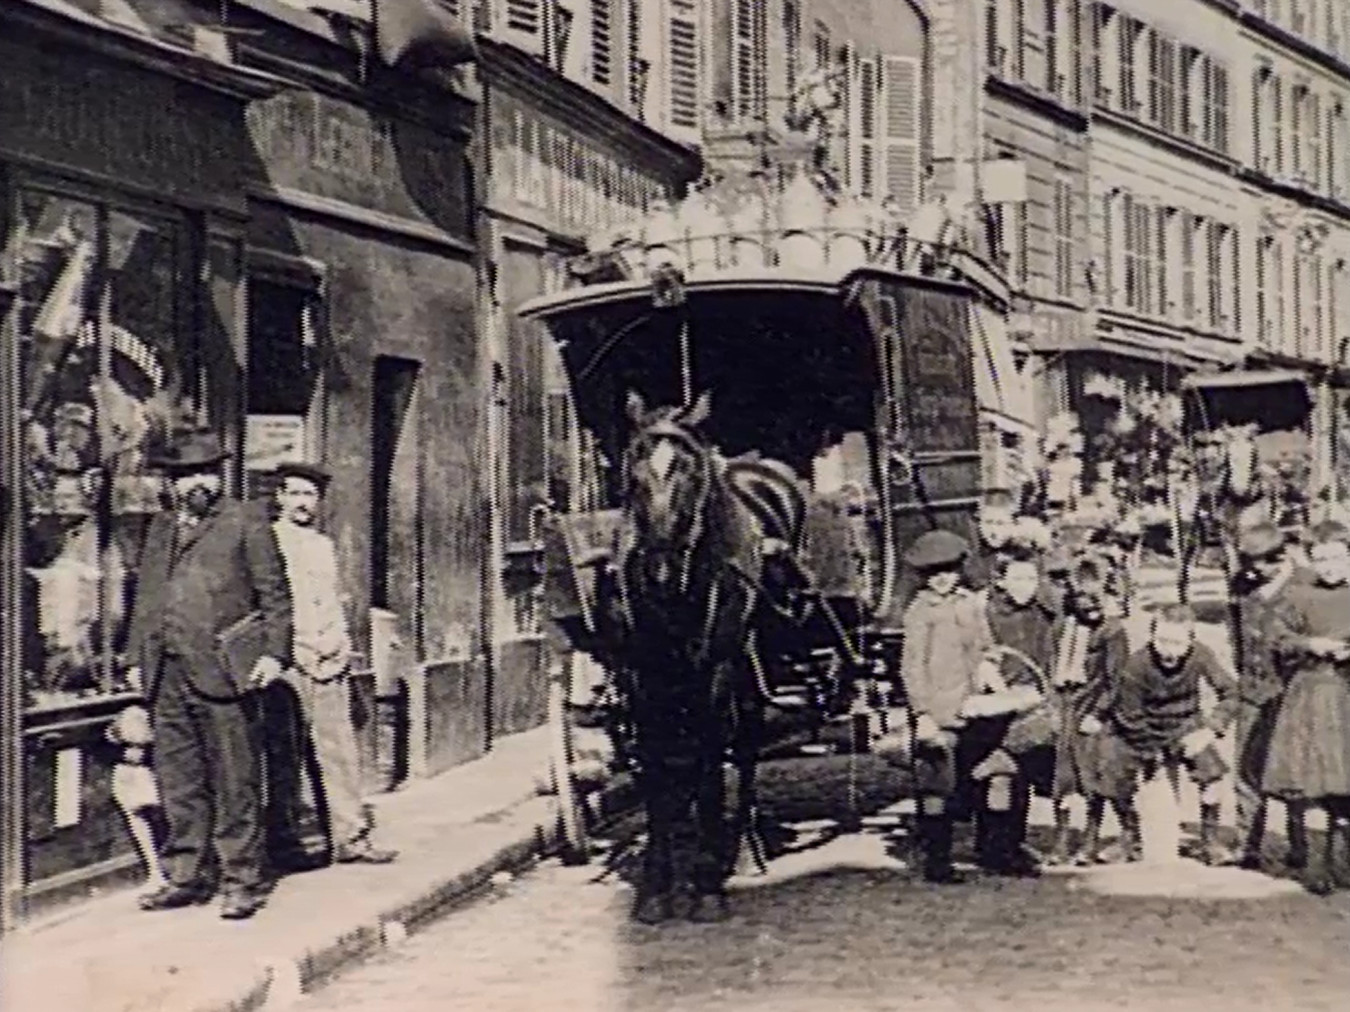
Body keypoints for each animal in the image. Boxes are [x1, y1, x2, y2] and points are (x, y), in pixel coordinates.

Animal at [610, 389, 807, 924]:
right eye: (631, 468)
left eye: (691, 471)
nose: (658, 570)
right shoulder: (641, 675)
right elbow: (655, 763)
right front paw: (655, 885)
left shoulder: (717, 668)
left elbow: (709, 756)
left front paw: (705, 884)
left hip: (748, 659)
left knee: (745, 742)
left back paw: (742, 849)